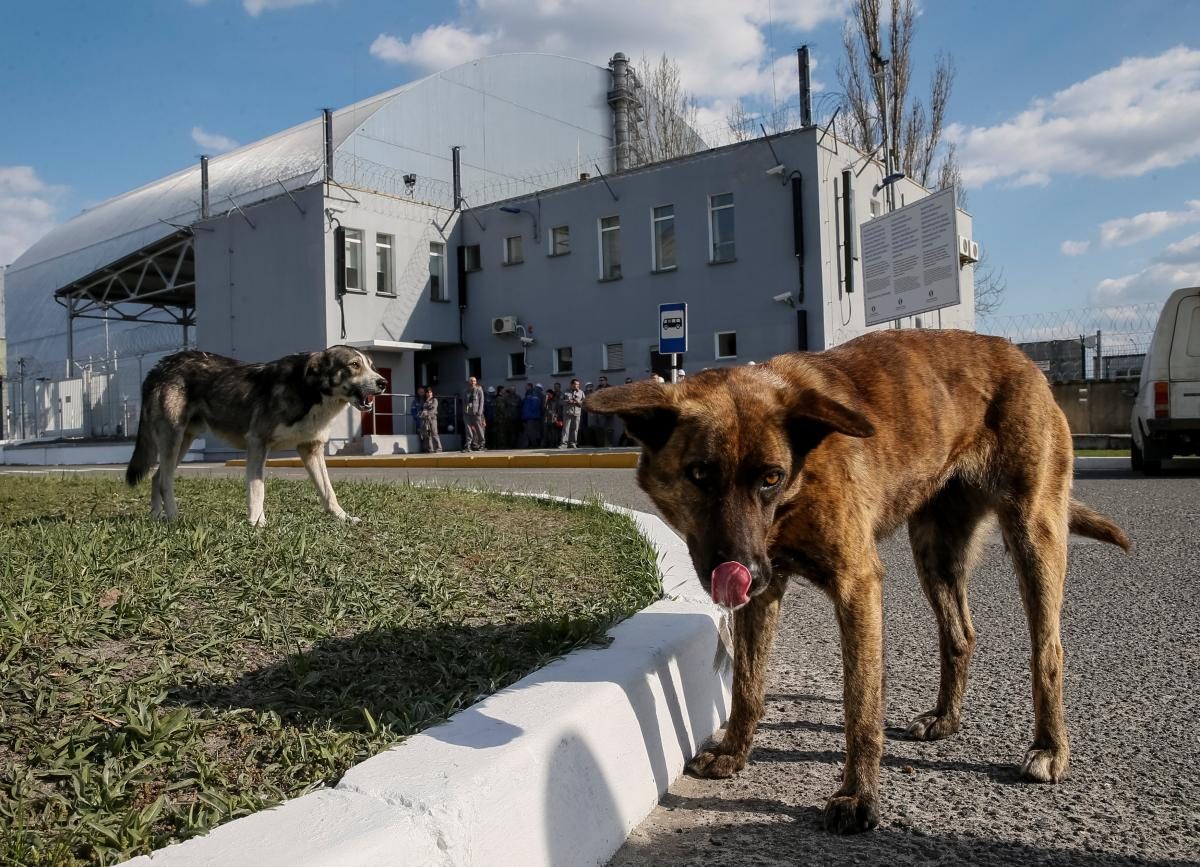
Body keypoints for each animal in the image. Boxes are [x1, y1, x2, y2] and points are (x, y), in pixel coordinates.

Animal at [124, 343, 384, 521]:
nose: (383, 383)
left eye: (372, 366)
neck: (310, 391)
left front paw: (342, 517)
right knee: (165, 481)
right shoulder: (258, 443)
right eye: (354, 365)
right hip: (173, 438)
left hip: (183, 441)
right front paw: (257, 522)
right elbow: (258, 487)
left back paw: (157, 517)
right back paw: (174, 517)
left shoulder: (311, 448)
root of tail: (160, 365)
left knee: (157, 477)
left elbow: (328, 491)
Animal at [585, 326, 1128, 826]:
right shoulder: (765, 594)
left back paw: (1050, 747)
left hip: (1033, 536)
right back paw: (946, 718)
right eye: (699, 474)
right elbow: (747, 684)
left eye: (770, 478)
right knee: (960, 633)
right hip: (934, 550)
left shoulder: (857, 586)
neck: (798, 483)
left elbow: (860, 704)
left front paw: (859, 796)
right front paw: (734, 751)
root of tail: (1022, 359)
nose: (745, 572)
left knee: (1048, 648)